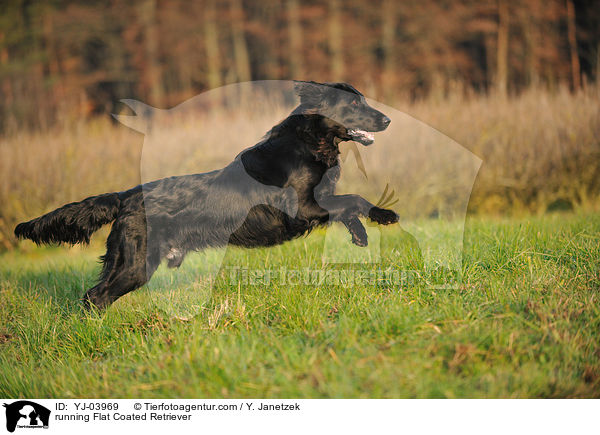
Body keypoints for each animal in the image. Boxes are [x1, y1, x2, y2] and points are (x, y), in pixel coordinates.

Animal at [14, 82, 396, 310]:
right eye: (354, 102)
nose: (388, 120)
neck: (309, 141)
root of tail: (127, 195)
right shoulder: (301, 208)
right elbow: (354, 199)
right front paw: (385, 216)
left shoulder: (318, 203)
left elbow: (348, 206)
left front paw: (360, 235)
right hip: (136, 263)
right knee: (96, 297)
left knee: (95, 295)